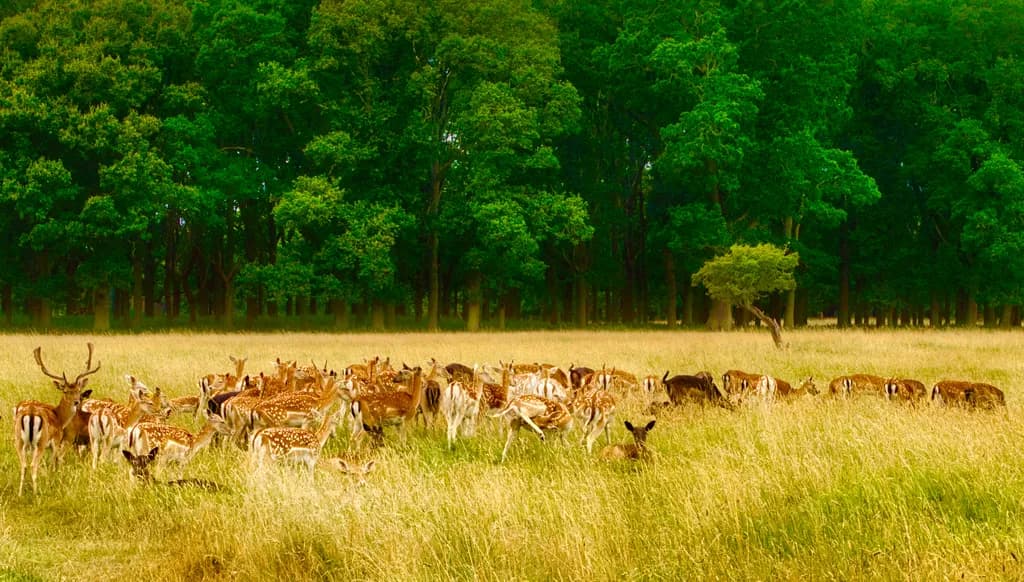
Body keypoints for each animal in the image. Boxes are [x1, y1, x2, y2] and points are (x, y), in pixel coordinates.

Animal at [14, 343, 100, 495]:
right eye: (65, 391)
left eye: (78, 390)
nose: (76, 402)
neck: (60, 417)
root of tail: (30, 414)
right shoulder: (56, 440)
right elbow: (54, 462)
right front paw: (53, 479)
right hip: (41, 442)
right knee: (33, 464)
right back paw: (36, 493)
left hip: (19, 440)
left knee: (23, 465)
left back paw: (19, 494)